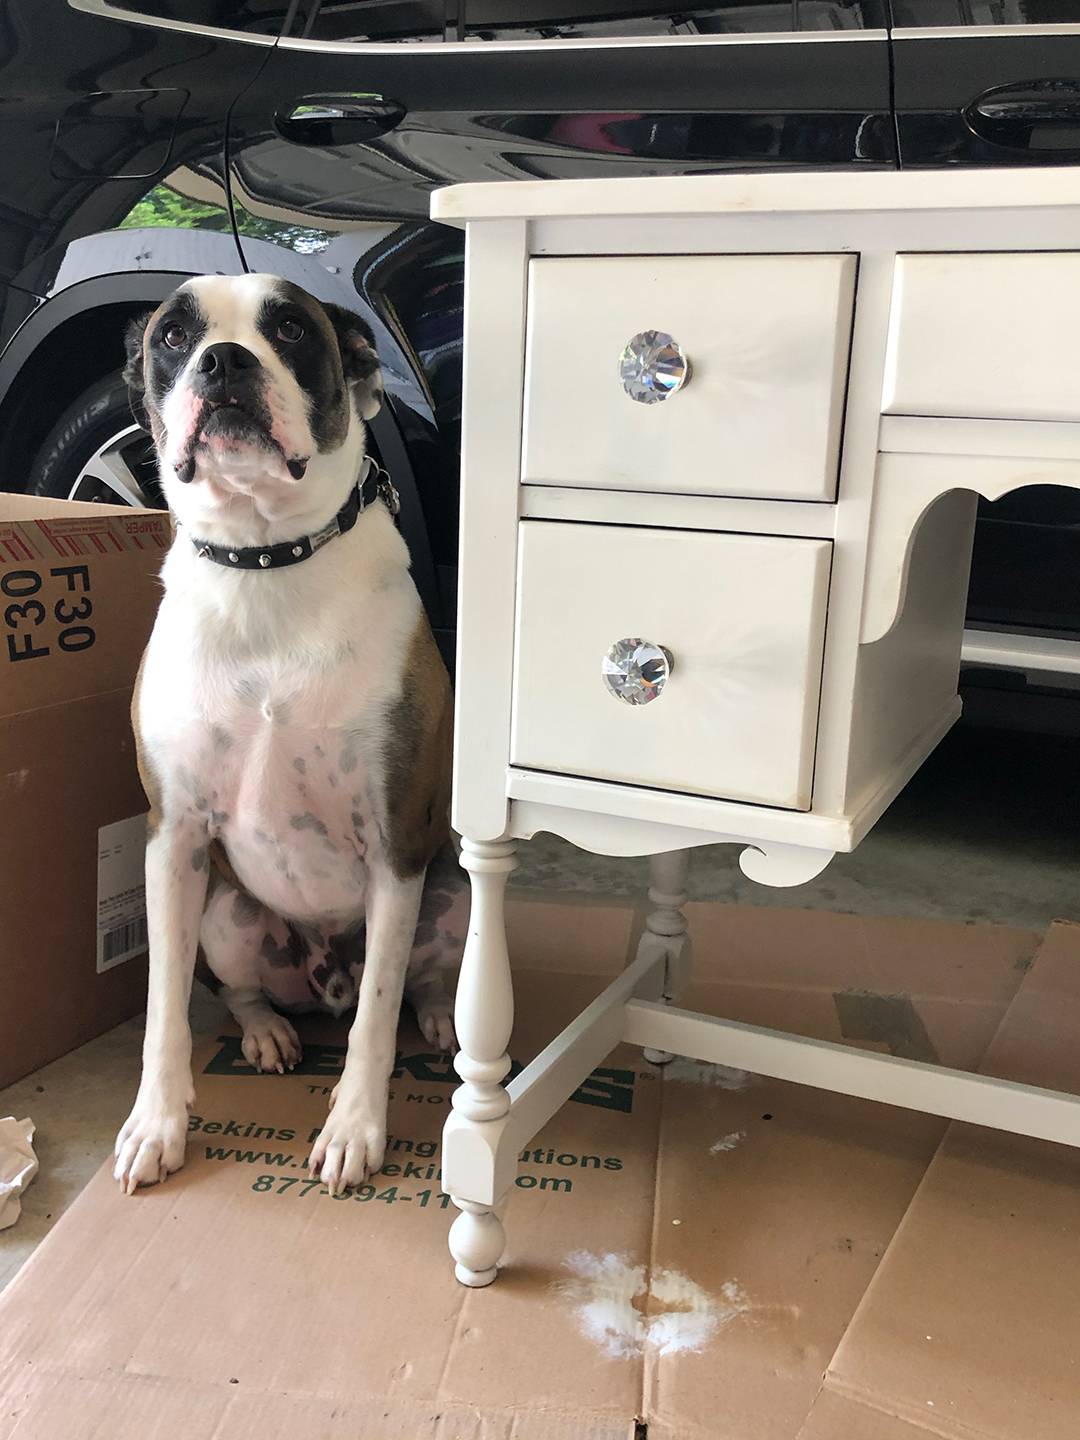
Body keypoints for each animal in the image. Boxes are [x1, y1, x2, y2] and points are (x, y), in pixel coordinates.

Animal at [115, 275, 469, 1198]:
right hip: (225, 913)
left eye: (290, 329)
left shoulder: (395, 844)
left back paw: (438, 1014)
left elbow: (376, 1016)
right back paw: (267, 1033)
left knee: (409, 981)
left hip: (450, 892)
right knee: (244, 991)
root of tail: (323, 979)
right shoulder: (173, 841)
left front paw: (354, 1126)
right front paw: (156, 1124)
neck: (265, 558)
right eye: (172, 336)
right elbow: (162, 1006)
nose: (224, 362)